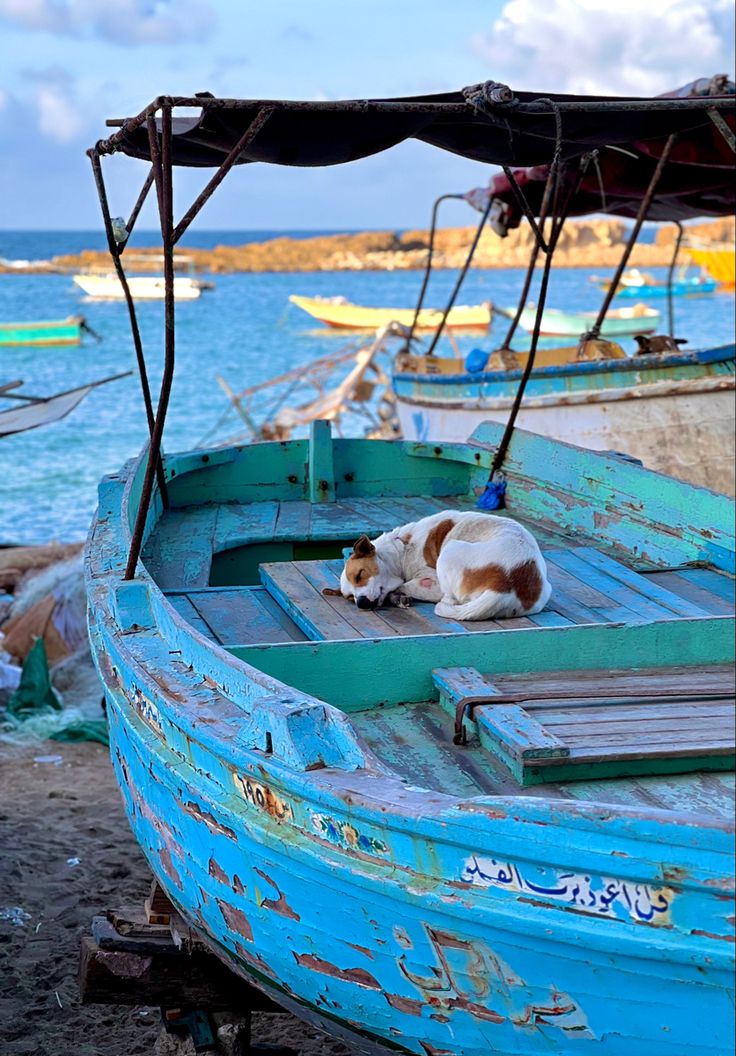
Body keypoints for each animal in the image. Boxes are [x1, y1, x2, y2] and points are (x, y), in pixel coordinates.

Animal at [335, 508, 549, 616]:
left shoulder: (432, 581)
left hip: (450, 549)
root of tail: (502, 586)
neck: (402, 547)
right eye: (349, 597)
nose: (361, 603)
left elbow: (405, 584)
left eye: (359, 575)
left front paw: (398, 594)